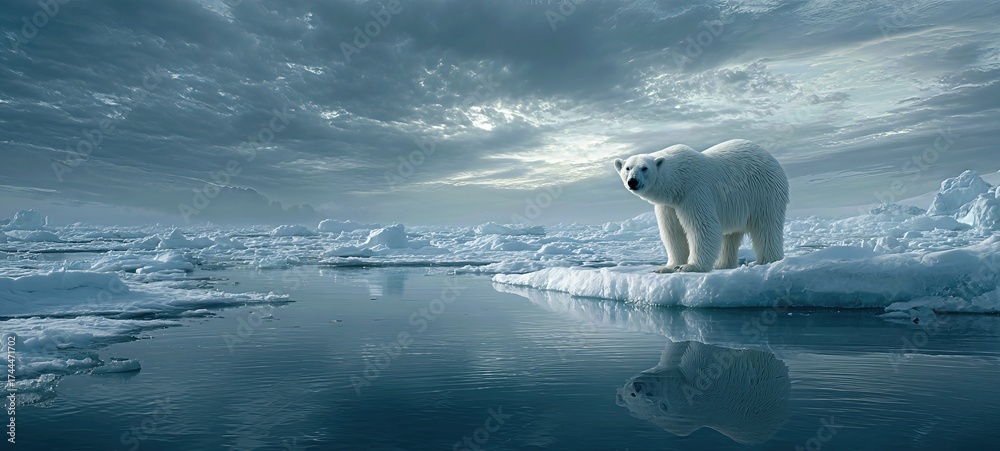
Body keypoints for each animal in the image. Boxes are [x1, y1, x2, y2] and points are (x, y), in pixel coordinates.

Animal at [613, 139, 789, 273]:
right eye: (627, 168)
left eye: (644, 168)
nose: (632, 181)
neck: (678, 182)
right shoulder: (668, 205)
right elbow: (672, 232)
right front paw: (666, 267)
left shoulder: (694, 193)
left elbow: (703, 227)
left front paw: (688, 266)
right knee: (731, 235)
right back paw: (722, 265)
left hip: (763, 193)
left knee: (766, 227)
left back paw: (766, 261)